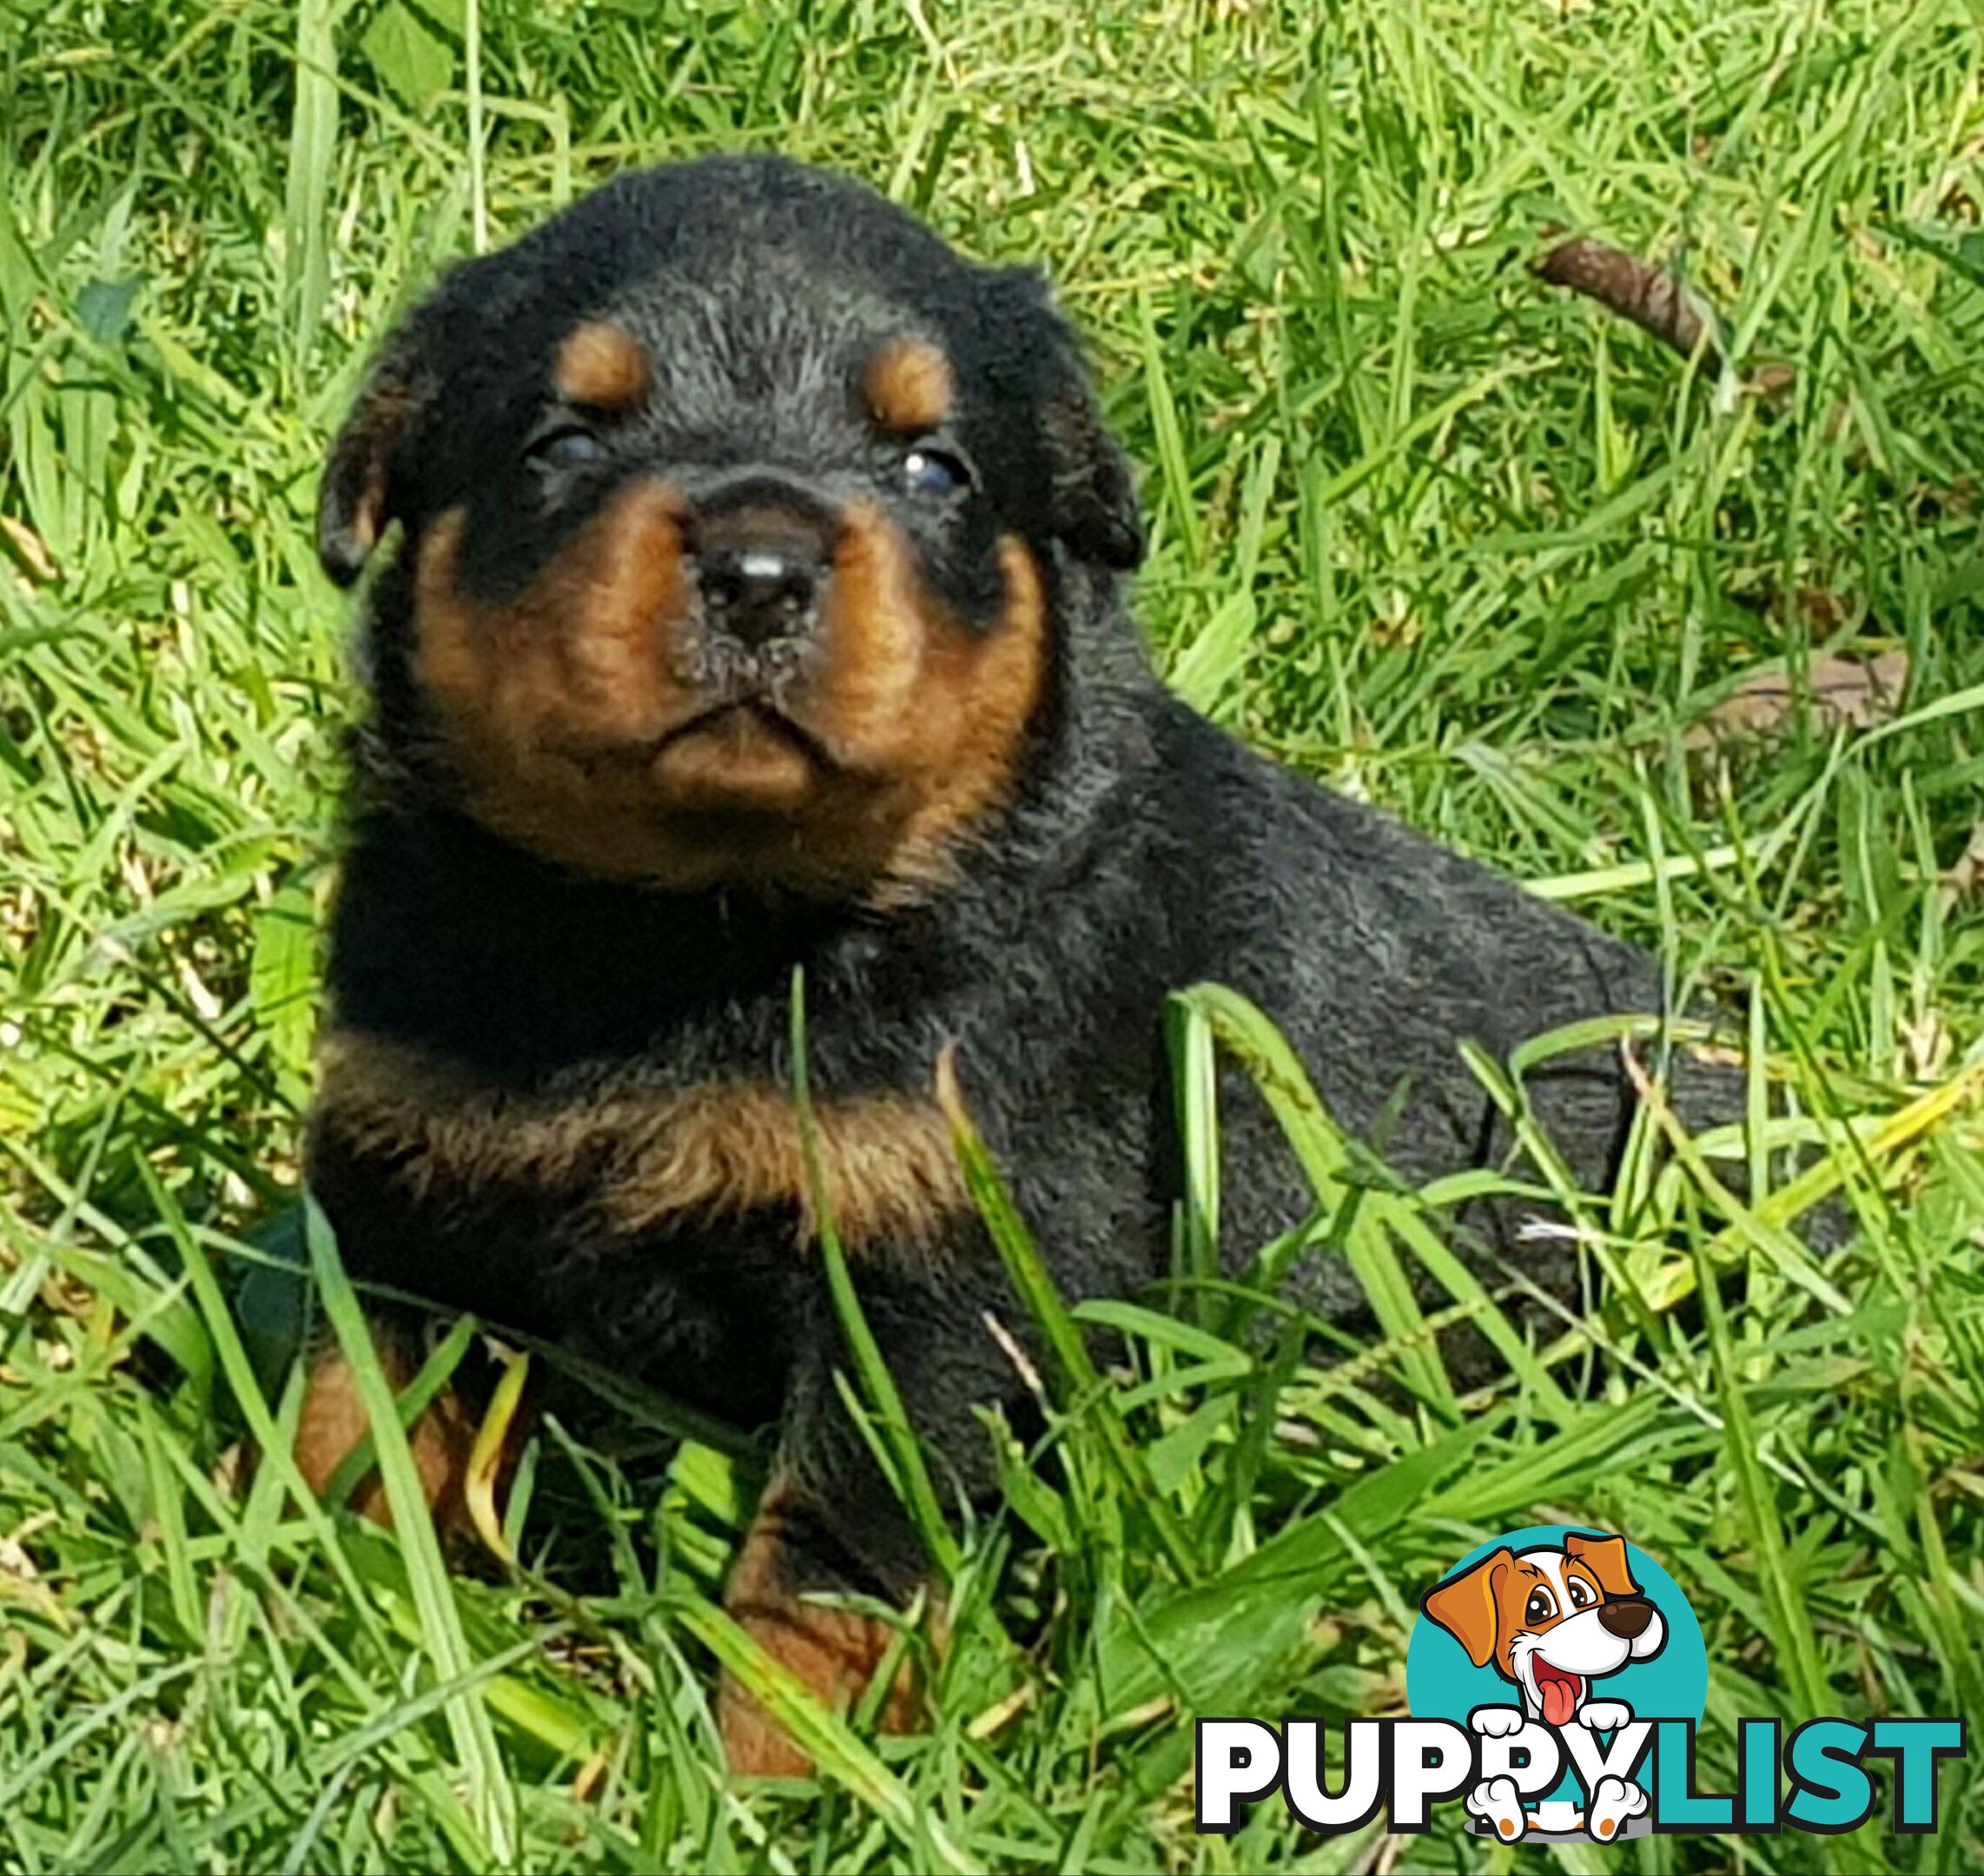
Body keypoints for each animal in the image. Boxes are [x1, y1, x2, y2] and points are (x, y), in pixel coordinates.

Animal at [297, 157, 1737, 1768]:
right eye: (563, 440)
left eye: (933, 469)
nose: (757, 569)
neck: (698, 929)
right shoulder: (402, 1168)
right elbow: (344, 1415)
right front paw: (295, 1615)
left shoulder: (939, 1275)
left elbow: (825, 1572)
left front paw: (782, 1776)